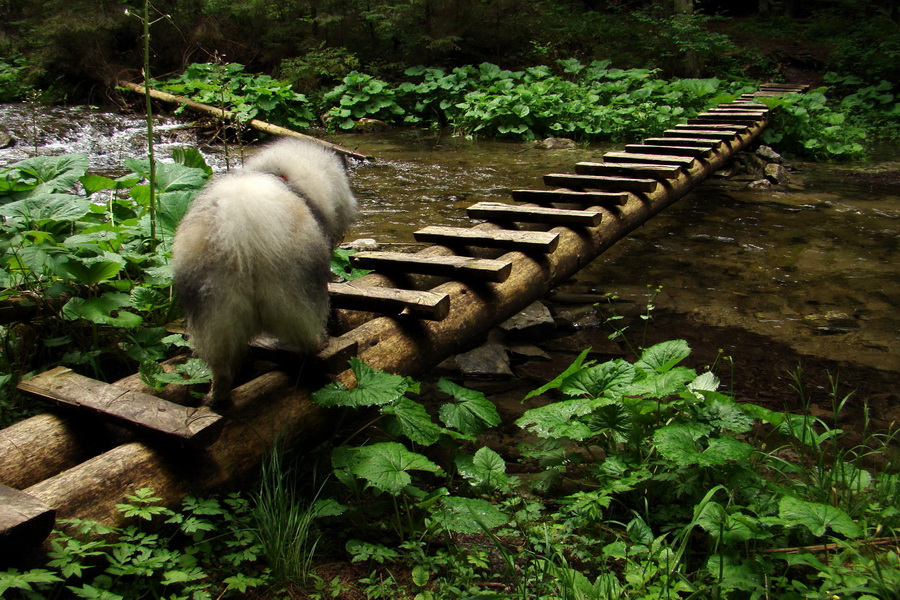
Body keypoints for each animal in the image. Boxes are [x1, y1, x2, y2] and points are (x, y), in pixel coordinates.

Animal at [174, 137, 356, 408]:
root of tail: (239, 220)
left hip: (213, 310)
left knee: (221, 367)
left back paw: (216, 398)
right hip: (295, 295)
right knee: (306, 335)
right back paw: (320, 343)